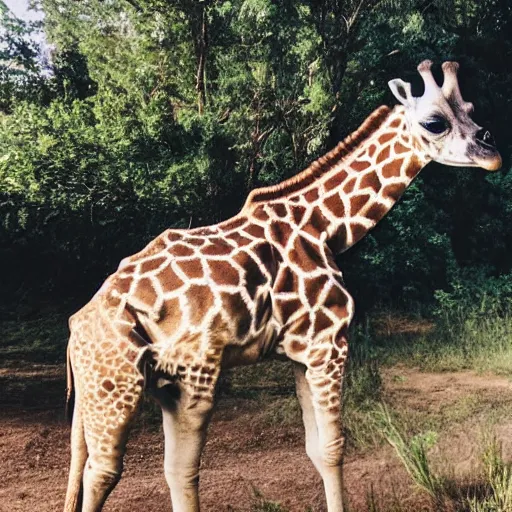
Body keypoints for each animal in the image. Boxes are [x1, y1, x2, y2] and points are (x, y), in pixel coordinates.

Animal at [63, 61, 500, 512]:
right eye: (434, 122)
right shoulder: (329, 342)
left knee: (124, 468)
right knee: (116, 471)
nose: (492, 153)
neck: (326, 228)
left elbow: (315, 449)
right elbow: (334, 448)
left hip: (134, 387)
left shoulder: (300, 352)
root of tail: (77, 328)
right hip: (155, 380)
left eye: (470, 109)